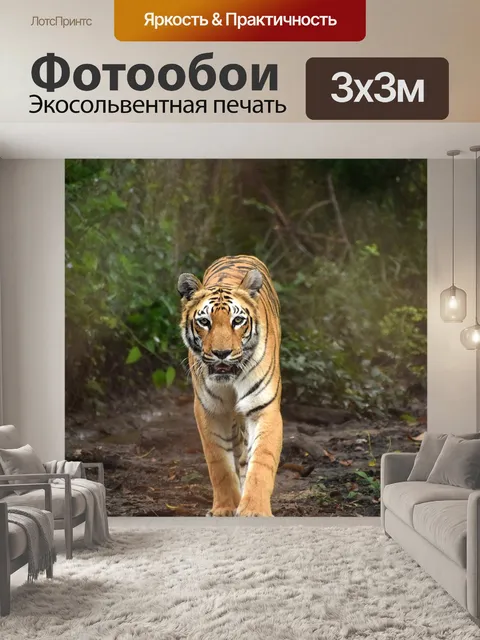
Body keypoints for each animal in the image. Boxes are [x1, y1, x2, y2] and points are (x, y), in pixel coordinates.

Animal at [177, 255, 282, 517]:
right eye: (204, 322)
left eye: (238, 321)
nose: (222, 353)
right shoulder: (210, 410)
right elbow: (219, 464)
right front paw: (225, 508)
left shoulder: (263, 408)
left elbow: (262, 460)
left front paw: (254, 509)